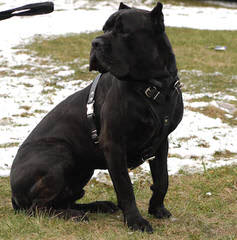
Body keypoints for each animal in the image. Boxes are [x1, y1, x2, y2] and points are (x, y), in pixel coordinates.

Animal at [10, 1, 183, 233]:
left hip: (83, 169)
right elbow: (125, 187)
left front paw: (157, 209)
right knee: (37, 207)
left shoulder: (161, 143)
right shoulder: (114, 145)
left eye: (123, 31)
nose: (95, 42)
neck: (154, 85)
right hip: (61, 154)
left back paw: (97, 206)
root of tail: (13, 193)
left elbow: (162, 179)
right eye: (104, 29)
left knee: (64, 199)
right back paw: (73, 215)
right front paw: (135, 221)